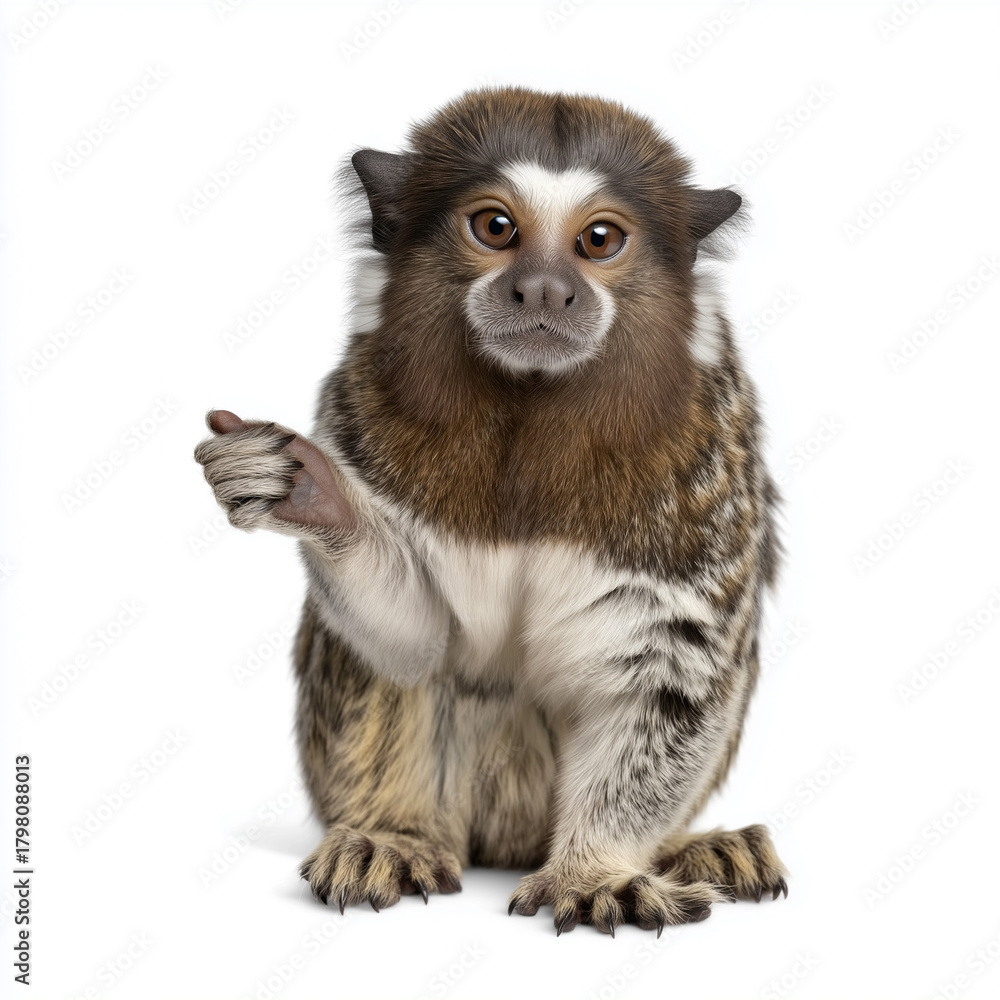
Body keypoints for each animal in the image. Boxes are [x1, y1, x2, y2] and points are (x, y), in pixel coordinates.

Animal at [194, 86, 788, 936]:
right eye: (496, 228)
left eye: (599, 240)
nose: (542, 289)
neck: (529, 408)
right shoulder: (358, 410)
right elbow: (415, 639)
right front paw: (314, 497)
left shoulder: (705, 465)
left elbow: (669, 675)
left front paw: (598, 869)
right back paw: (392, 834)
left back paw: (693, 847)